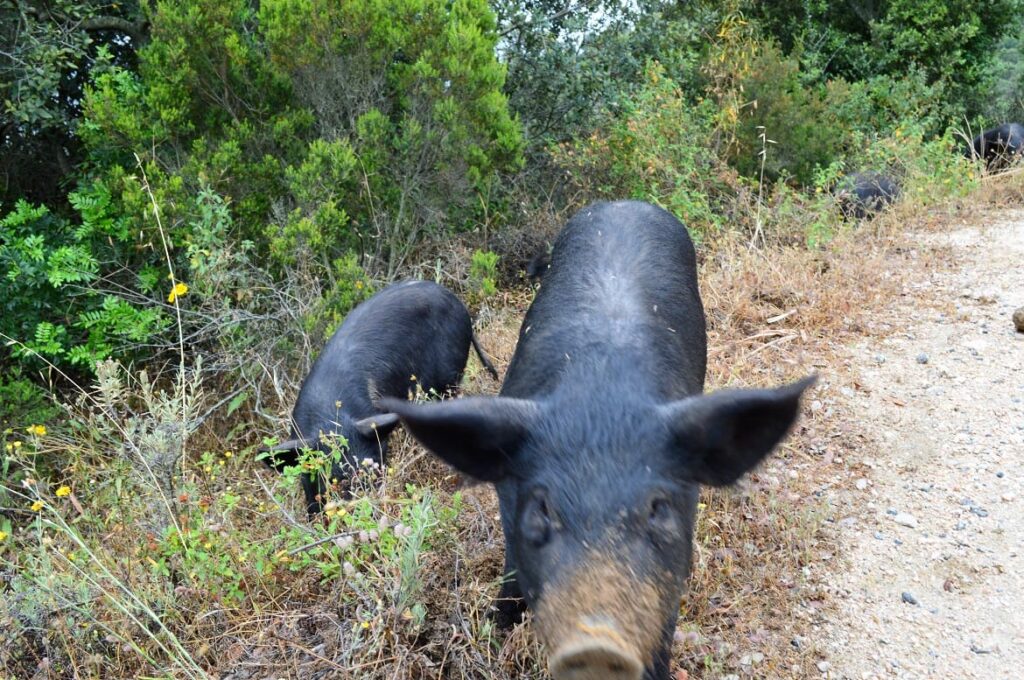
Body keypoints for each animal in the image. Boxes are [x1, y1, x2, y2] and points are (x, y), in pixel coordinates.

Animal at [264, 278, 499, 512]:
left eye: (375, 471)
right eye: (333, 479)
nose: (368, 509)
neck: (330, 416)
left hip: (449, 374)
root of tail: (457, 301)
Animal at [380, 200, 811, 680]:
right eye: (544, 508)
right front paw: (497, 629)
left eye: (658, 508)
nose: (599, 644)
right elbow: (512, 570)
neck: (599, 400)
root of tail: (628, 203)